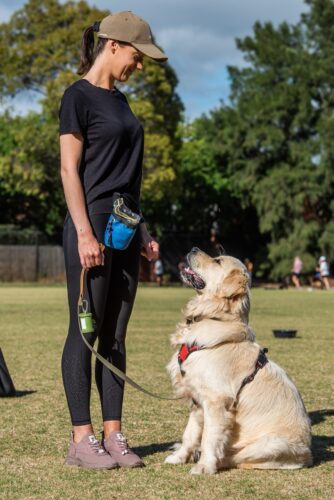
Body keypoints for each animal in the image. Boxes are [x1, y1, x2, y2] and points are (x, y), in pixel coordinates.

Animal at [166, 248, 314, 474]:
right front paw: (179, 457)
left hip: (270, 444)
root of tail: (309, 457)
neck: (215, 317)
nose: (193, 249)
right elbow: (189, 433)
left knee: (236, 456)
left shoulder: (216, 401)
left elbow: (209, 437)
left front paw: (204, 467)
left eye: (217, 261)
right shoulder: (197, 400)